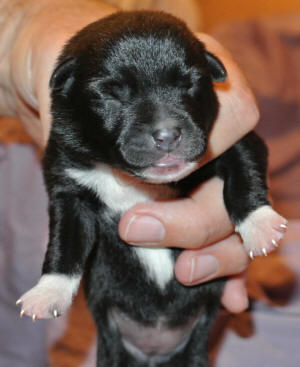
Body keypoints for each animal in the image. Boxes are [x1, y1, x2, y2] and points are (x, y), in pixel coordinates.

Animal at [17, 10, 288, 366]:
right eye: (111, 93)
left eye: (189, 83)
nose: (167, 134)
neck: (132, 179)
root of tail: (155, 354)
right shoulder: (67, 183)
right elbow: (66, 242)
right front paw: (47, 292)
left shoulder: (236, 139)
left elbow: (244, 174)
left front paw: (260, 225)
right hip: (113, 347)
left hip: (196, 346)